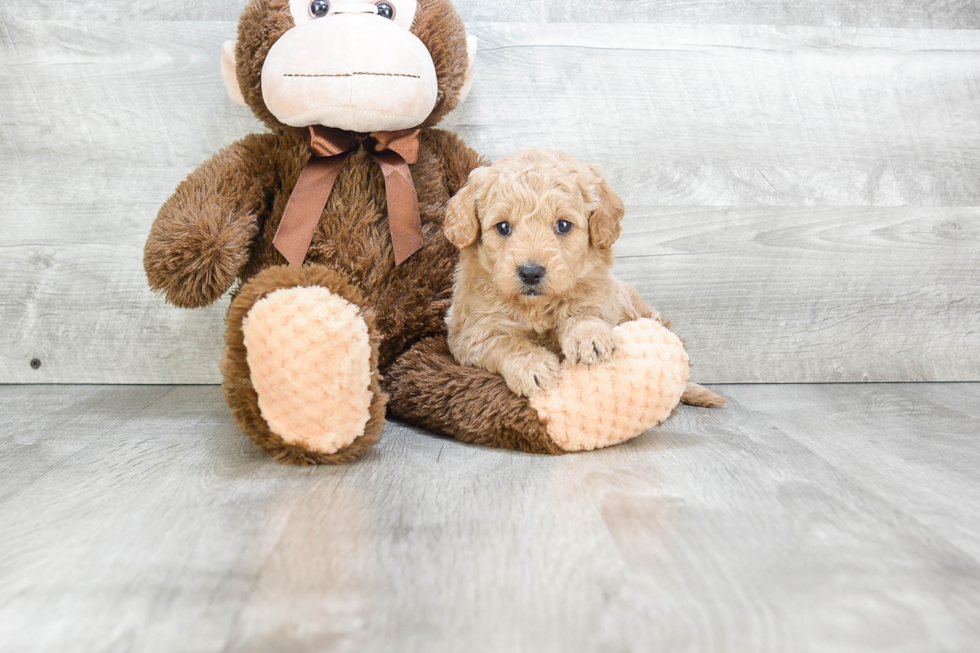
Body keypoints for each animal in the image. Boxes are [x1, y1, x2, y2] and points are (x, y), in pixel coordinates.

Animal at [440, 148, 724, 408]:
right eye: (503, 227)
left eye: (563, 225)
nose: (530, 272)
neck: (536, 308)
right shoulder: (469, 334)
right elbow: (503, 342)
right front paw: (533, 366)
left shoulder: (601, 299)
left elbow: (586, 314)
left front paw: (589, 337)